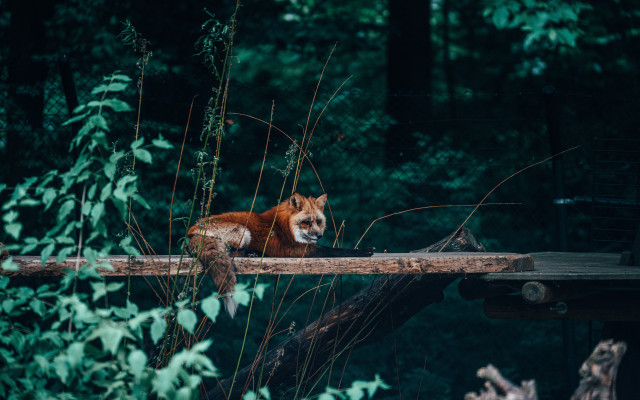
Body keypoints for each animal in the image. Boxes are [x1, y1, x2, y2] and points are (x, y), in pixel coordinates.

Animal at [187, 193, 374, 317]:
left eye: (319, 221)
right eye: (307, 222)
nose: (319, 235)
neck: (285, 226)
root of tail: (192, 231)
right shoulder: (297, 250)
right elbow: (337, 250)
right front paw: (364, 251)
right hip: (244, 232)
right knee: (233, 253)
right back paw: (254, 253)